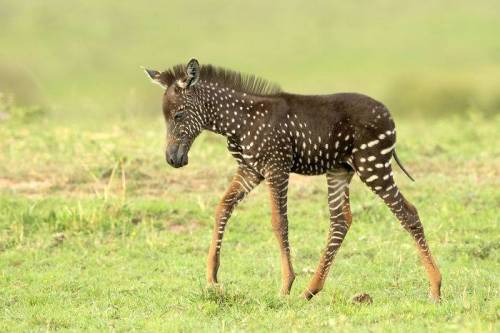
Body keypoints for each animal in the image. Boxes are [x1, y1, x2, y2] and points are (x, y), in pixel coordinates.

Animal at [144, 58, 442, 300]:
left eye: (179, 114)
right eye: (164, 117)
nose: (173, 159)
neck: (239, 122)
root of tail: (389, 116)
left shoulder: (277, 167)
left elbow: (279, 222)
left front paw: (286, 285)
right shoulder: (250, 170)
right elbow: (223, 207)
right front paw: (212, 275)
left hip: (373, 165)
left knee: (407, 213)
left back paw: (436, 288)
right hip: (340, 170)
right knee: (341, 221)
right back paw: (311, 290)